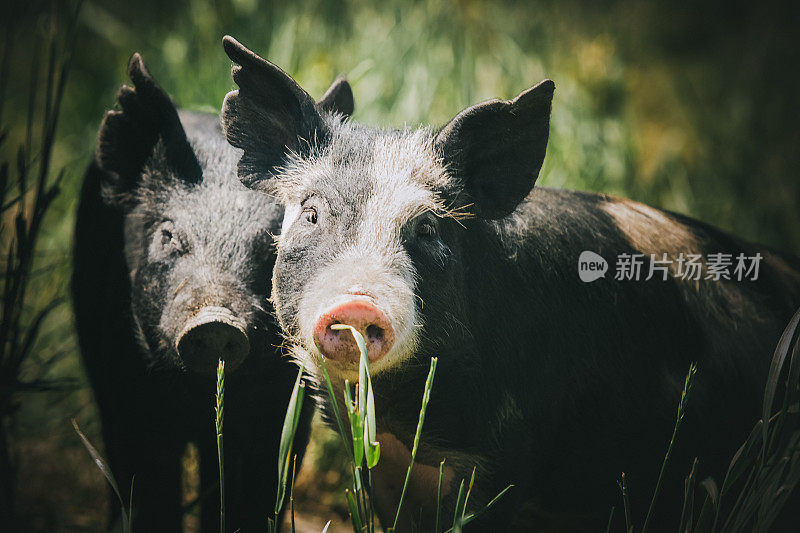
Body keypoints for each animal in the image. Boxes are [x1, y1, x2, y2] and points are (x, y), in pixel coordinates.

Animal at [72, 55, 354, 532]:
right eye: (168, 236)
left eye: (275, 242)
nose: (216, 321)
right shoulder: (128, 389)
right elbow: (149, 489)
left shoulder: (283, 407)